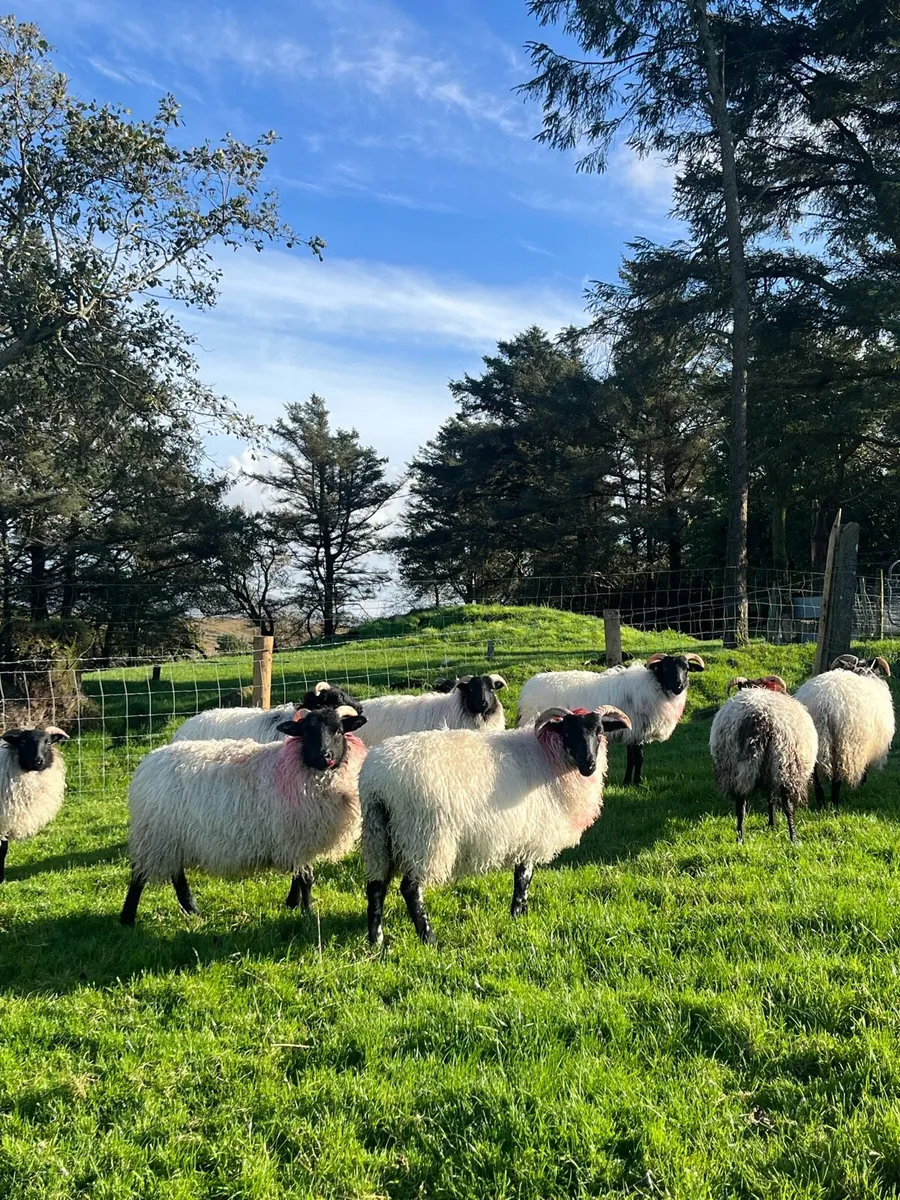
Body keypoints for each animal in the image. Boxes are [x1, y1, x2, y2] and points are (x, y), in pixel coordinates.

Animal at [120, 704, 367, 925]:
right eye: (307, 732)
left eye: (339, 731)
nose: (324, 756)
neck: (300, 767)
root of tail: (148, 762)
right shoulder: (296, 837)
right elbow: (306, 879)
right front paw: (307, 911)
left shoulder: (296, 840)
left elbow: (298, 878)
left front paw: (292, 904)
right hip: (155, 833)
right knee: (139, 877)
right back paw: (128, 919)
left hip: (172, 837)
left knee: (176, 874)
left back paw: (191, 909)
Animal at [360, 703, 631, 945]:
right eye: (568, 732)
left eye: (599, 732)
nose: (589, 765)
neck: (549, 758)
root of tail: (378, 782)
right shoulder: (532, 834)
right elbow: (523, 878)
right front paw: (518, 914)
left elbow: (522, 877)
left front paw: (520, 915)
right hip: (423, 837)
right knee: (410, 889)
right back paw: (429, 938)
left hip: (377, 834)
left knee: (375, 886)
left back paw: (376, 940)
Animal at [517, 653, 706, 786]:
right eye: (666, 669)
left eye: (686, 668)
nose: (679, 686)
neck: (655, 686)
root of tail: (527, 688)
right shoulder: (636, 731)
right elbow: (638, 757)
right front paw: (636, 782)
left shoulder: (632, 731)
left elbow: (631, 758)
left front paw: (628, 781)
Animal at [709, 676, 818, 843]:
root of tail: (759, 717)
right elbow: (772, 798)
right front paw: (773, 824)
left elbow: (769, 798)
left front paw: (771, 823)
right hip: (786, 765)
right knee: (788, 805)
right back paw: (794, 838)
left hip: (733, 766)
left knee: (740, 804)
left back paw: (740, 838)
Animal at [794, 656, 894, 808]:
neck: (862, 673)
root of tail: (823, 703)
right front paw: (862, 781)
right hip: (845, 742)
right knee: (838, 773)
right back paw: (834, 802)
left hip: (811, 740)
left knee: (815, 772)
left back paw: (821, 800)